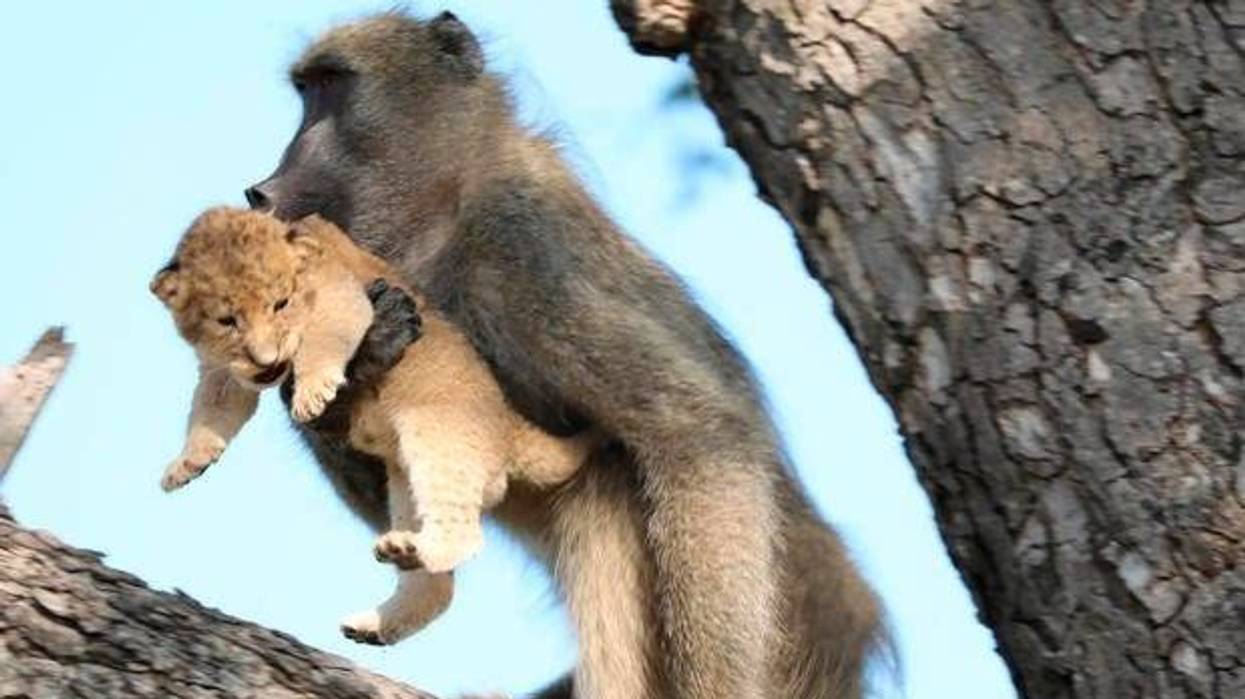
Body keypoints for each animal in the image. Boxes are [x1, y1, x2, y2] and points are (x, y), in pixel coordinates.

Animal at [150, 206, 593, 644]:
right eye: (227, 320)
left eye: (281, 303)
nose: (267, 359)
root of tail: (506, 422)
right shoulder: (223, 369)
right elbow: (213, 406)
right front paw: (187, 463)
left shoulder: (344, 298)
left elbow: (322, 341)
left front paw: (313, 392)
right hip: (404, 484)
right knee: (437, 587)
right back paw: (376, 619)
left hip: (437, 438)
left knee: (465, 535)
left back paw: (412, 553)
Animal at [244, 10, 886, 698]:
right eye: (305, 90)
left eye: (329, 86)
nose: (261, 190)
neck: (446, 206)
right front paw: (358, 360)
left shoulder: (527, 251)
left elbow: (698, 430)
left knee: (606, 484)